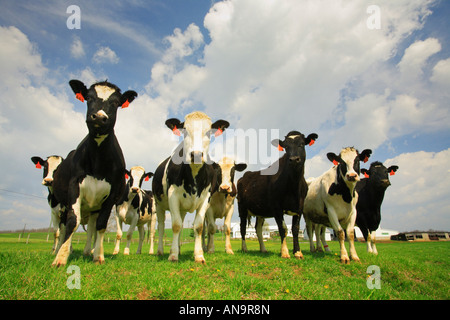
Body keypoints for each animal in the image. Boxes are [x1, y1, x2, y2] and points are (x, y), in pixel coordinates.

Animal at [51, 80, 137, 268]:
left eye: (115, 102)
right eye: (89, 98)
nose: (98, 117)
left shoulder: (111, 195)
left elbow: (101, 224)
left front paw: (98, 256)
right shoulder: (74, 186)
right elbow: (72, 222)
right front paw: (60, 258)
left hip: (94, 206)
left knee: (91, 227)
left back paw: (87, 251)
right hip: (62, 203)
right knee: (63, 226)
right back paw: (61, 249)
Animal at [152, 111, 229, 264]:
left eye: (209, 132)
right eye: (185, 131)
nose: (197, 154)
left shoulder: (206, 198)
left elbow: (198, 227)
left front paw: (198, 255)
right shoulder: (172, 196)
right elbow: (175, 225)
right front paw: (173, 255)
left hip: (182, 209)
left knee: (181, 224)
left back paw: (178, 249)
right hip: (158, 204)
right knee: (162, 227)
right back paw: (161, 251)